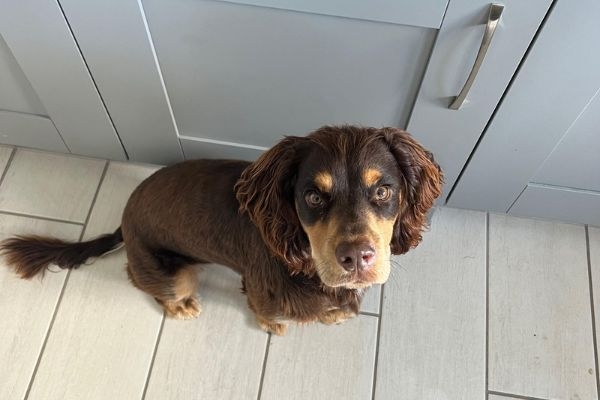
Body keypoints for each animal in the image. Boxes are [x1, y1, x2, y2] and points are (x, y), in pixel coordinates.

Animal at [0, 126, 440, 334]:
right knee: (152, 286)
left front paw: (334, 314)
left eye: (383, 190)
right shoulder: (261, 288)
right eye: (313, 197)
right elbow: (266, 312)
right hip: (170, 270)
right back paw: (180, 306)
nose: (356, 258)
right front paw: (272, 326)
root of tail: (124, 222)